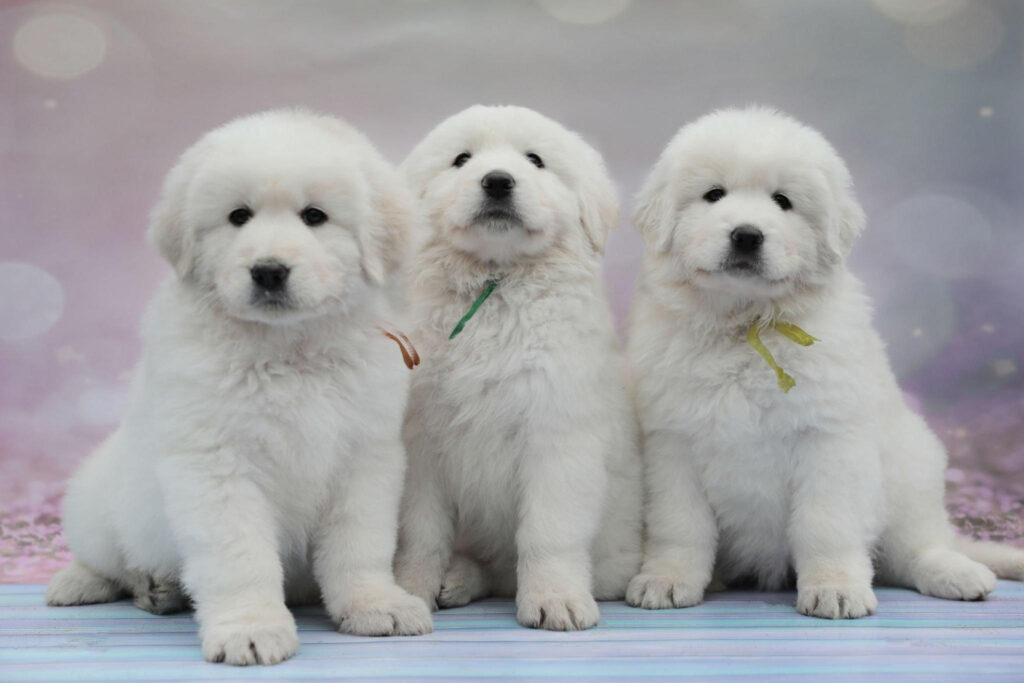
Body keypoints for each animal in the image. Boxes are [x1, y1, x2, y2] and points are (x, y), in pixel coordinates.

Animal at [47, 111, 432, 663]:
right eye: (238, 216)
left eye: (314, 216)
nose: (268, 271)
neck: (289, 351)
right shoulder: (217, 465)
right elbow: (240, 557)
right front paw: (251, 628)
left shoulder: (366, 457)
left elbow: (360, 544)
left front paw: (376, 604)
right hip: (98, 504)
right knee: (106, 559)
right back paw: (95, 584)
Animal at [391, 104, 638, 634]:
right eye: (462, 159)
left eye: (535, 160)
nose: (498, 181)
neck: (496, 286)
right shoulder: (422, 445)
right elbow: (421, 534)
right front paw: (409, 589)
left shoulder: (557, 436)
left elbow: (548, 533)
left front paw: (555, 599)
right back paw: (455, 579)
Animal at [622, 107, 1024, 618]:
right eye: (713, 195)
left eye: (783, 202)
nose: (747, 235)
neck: (746, 326)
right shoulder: (672, 443)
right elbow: (680, 526)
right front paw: (668, 580)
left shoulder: (829, 439)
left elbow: (825, 524)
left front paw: (836, 588)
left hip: (911, 472)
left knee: (917, 547)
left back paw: (958, 573)